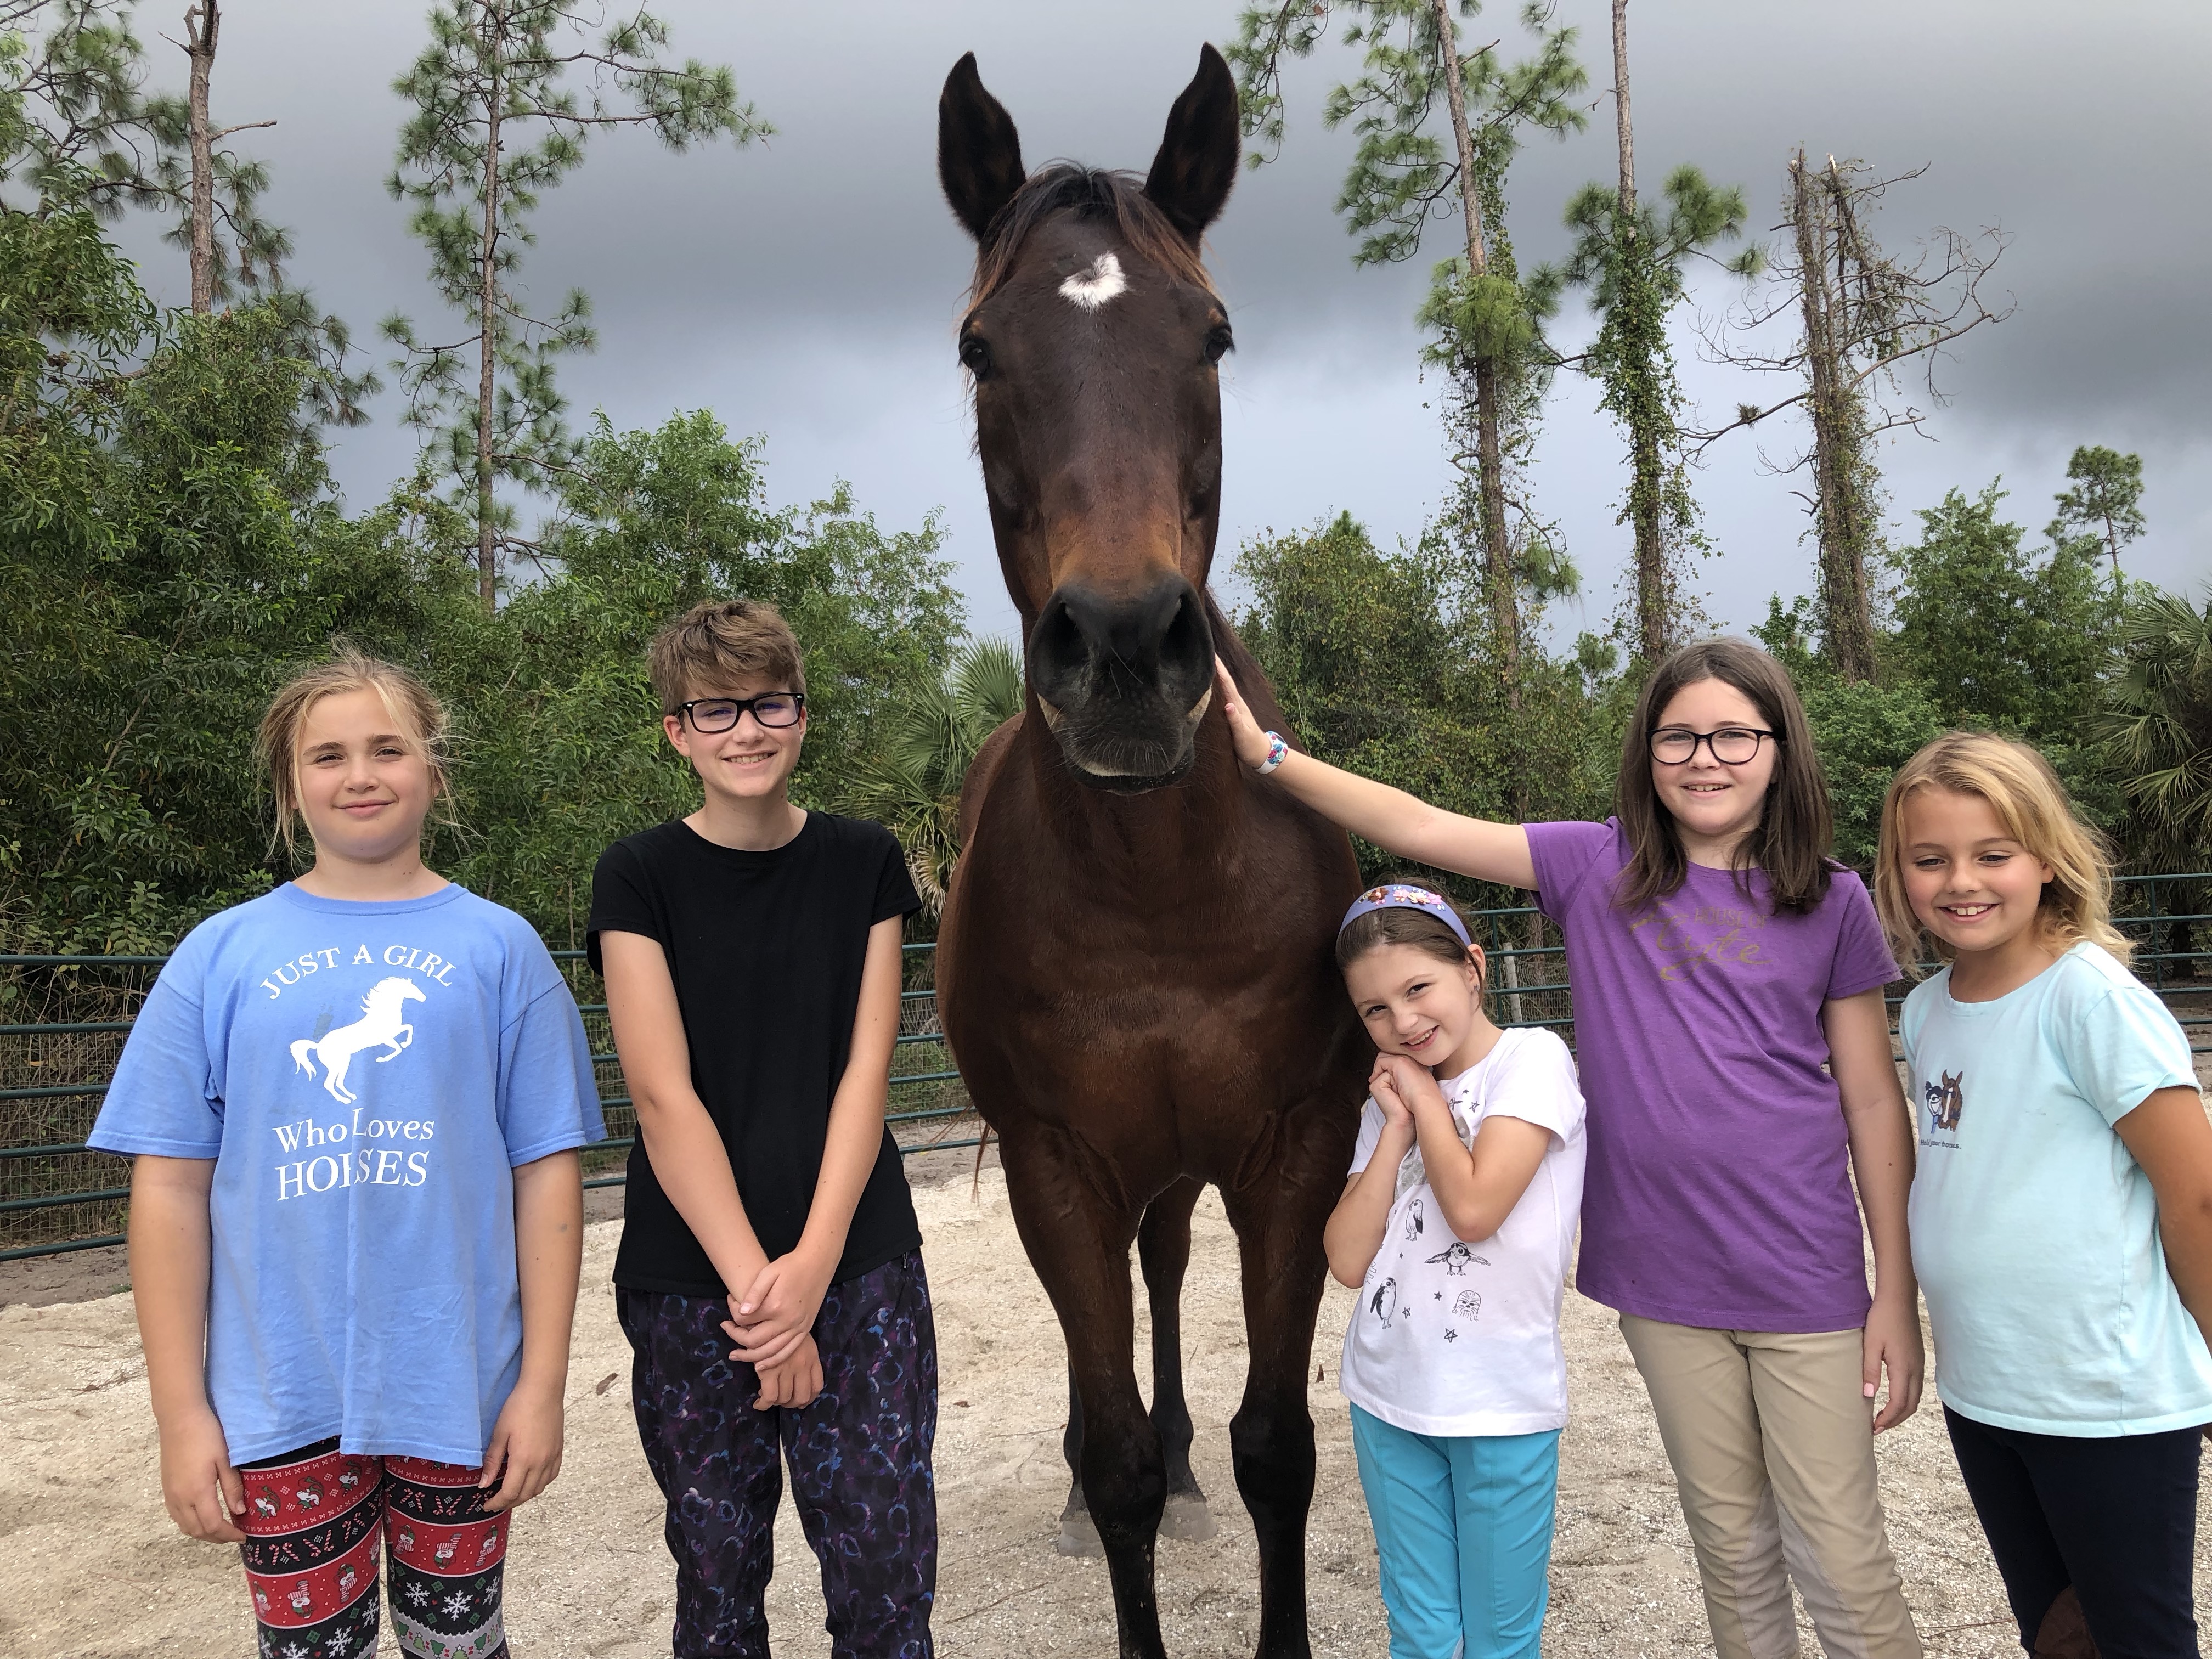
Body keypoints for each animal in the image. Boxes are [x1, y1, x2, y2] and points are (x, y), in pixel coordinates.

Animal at [289, 977, 425, 1104]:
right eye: (412, 989)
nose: (424, 998)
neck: (382, 1015)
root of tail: (318, 1046)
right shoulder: (387, 1038)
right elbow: (399, 1048)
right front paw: (382, 1059)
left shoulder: (393, 1033)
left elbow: (409, 1028)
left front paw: (405, 1043)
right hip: (339, 1064)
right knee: (329, 1084)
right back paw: (345, 1100)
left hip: (342, 1064)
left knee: (338, 1083)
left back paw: (352, 1096)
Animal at [933, 45, 1370, 1659]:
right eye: (980, 351)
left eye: (1215, 335)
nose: (1123, 648)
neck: (1161, 894)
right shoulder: (1058, 1166)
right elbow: (1109, 1445)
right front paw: (1109, 1488)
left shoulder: (1293, 1148)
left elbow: (1276, 1447)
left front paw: (1207, 1475)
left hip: (1184, 1174)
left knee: (1169, 1272)